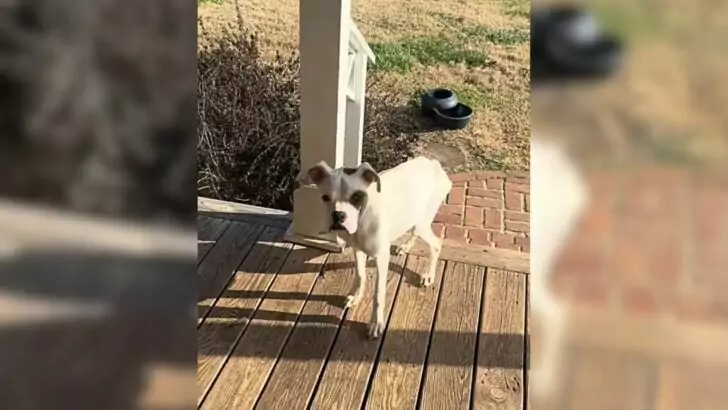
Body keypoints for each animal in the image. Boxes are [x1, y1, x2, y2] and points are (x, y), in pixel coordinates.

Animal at [296, 155, 450, 338]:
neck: (363, 218)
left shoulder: (381, 258)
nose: (338, 215)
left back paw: (428, 275)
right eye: (325, 197)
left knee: (436, 244)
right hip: (415, 220)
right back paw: (405, 247)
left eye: (356, 197)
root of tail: (434, 164)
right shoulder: (357, 250)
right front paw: (356, 296)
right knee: (415, 233)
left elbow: (378, 294)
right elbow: (360, 274)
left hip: (421, 223)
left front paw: (376, 323)